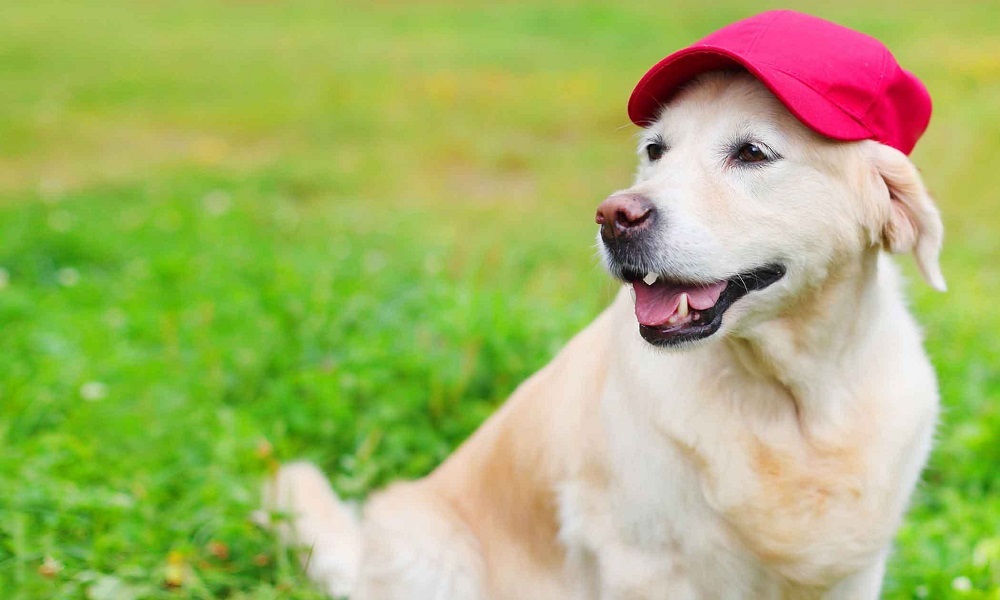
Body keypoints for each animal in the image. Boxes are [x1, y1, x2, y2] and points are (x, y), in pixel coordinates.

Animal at [264, 10, 944, 600]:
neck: (795, 400)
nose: (615, 216)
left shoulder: (853, 572)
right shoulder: (644, 563)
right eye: (655, 150)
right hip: (426, 542)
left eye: (753, 152)